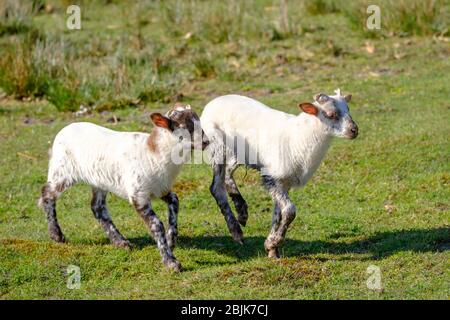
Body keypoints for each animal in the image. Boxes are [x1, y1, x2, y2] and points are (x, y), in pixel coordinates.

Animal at [38, 104, 209, 270]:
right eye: (185, 127)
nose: (206, 142)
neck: (153, 153)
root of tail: (65, 128)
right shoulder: (138, 194)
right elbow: (156, 224)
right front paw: (171, 262)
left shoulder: (162, 188)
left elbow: (175, 201)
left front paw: (171, 240)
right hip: (62, 170)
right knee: (47, 194)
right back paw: (56, 235)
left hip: (99, 179)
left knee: (97, 207)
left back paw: (120, 242)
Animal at [200, 89, 358, 258]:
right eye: (330, 114)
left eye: (348, 109)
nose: (354, 130)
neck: (300, 138)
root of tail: (213, 103)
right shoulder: (271, 177)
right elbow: (289, 211)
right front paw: (274, 242)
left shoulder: (284, 181)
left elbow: (278, 213)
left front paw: (271, 248)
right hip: (217, 147)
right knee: (216, 187)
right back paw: (236, 231)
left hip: (238, 154)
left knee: (229, 174)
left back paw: (242, 212)